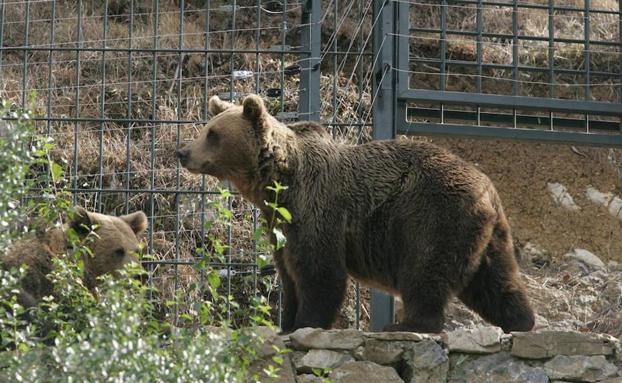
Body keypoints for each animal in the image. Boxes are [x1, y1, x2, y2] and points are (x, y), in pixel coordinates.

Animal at [177, 94, 536, 334]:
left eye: (213, 134)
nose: (182, 152)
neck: (279, 184)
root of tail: (487, 188)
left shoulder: (317, 209)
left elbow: (320, 272)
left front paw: (305, 324)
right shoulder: (281, 224)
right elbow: (289, 275)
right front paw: (287, 323)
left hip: (433, 216)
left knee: (426, 272)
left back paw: (406, 325)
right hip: (485, 233)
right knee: (496, 280)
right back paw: (521, 321)